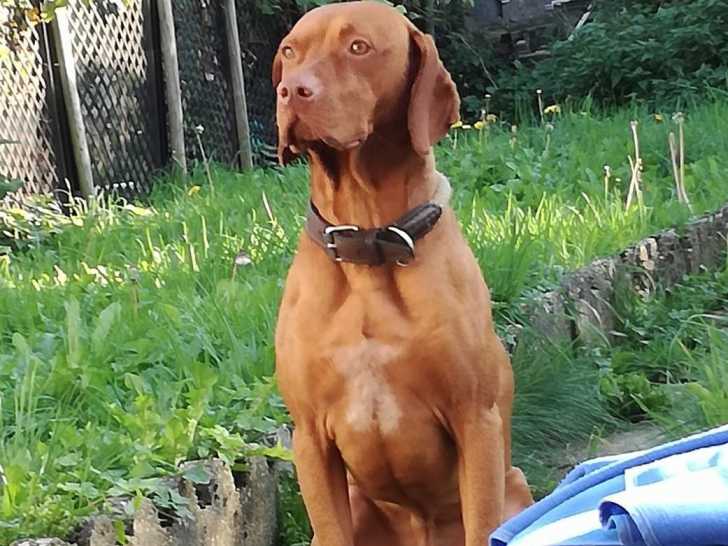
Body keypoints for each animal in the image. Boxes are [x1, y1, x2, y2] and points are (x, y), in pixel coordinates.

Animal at [273, 3, 533, 545]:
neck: (368, 244)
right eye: (289, 51)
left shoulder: (474, 420)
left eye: (358, 47)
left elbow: (482, 523)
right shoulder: (310, 439)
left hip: (515, 486)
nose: (292, 91)